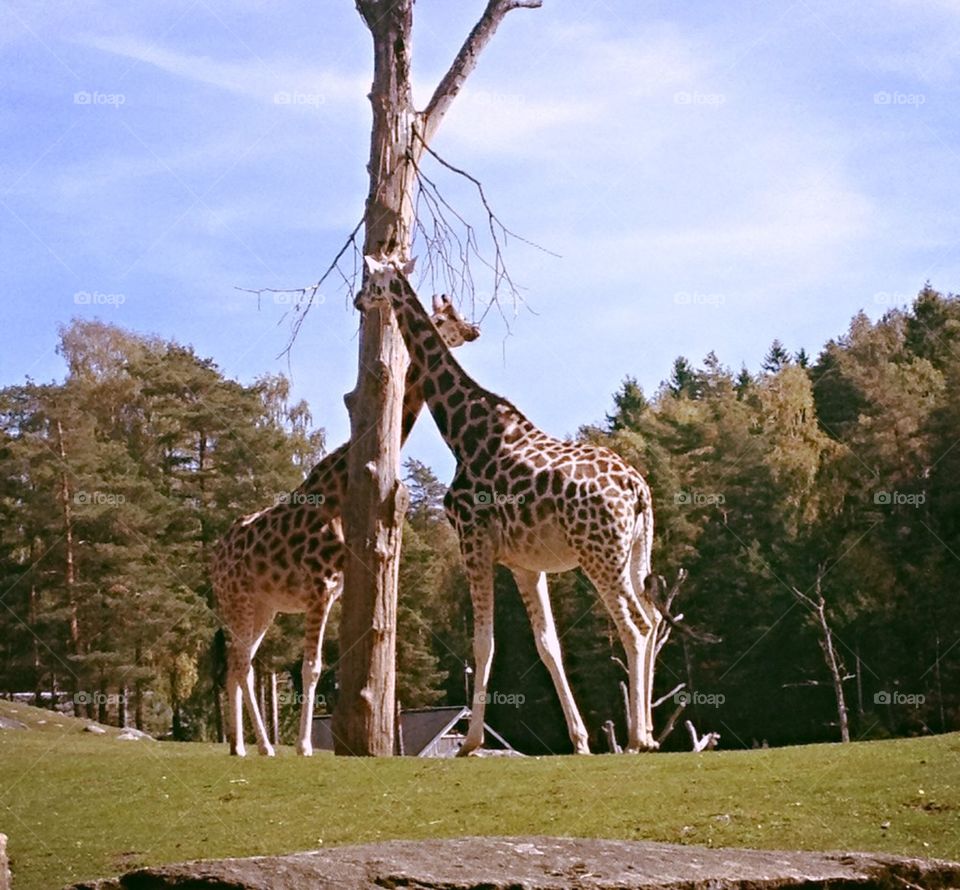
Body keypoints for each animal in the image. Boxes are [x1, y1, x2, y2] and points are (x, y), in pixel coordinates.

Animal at [210, 297, 479, 756]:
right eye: (444, 318)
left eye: (458, 315)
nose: (472, 331)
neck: (339, 490)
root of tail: (212, 561)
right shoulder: (318, 588)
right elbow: (312, 668)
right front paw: (303, 745)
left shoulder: (334, 590)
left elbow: (324, 670)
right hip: (237, 600)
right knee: (241, 665)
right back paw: (253, 747)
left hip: (262, 606)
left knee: (238, 665)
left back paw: (250, 746)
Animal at [360, 256, 660, 754]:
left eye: (371, 281)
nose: (356, 300)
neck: (461, 432)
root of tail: (638, 490)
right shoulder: (525, 563)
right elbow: (547, 644)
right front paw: (580, 739)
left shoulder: (473, 541)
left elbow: (483, 642)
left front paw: (469, 741)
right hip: (635, 555)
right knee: (654, 619)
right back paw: (650, 732)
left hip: (600, 556)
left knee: (634, 627)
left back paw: (637, 737)